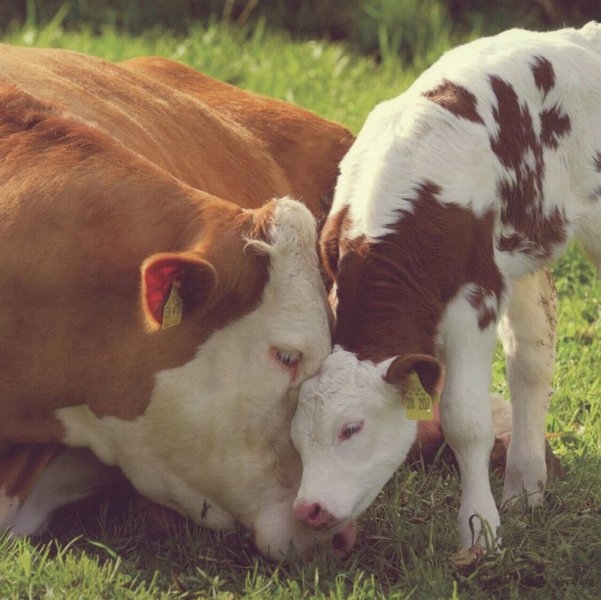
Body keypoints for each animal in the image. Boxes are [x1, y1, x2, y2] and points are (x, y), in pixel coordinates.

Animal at [290, 22, 600, 548]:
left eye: (351, 428)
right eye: (294, 438)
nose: (308, 509)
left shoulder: (474, 299)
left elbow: (464, 422)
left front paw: (479, 531)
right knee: (533, 355)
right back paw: (524, 488)